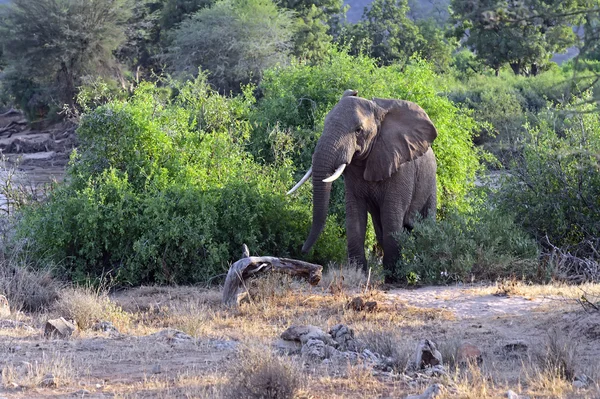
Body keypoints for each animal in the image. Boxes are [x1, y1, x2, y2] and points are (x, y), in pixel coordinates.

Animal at [286, 90, 436, 284]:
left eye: (358, 131)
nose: (303, 251)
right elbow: (355, 216)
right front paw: (359, 274)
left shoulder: (401, 169)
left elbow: (391, 216)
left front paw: (395, 279)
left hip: (431, 183)